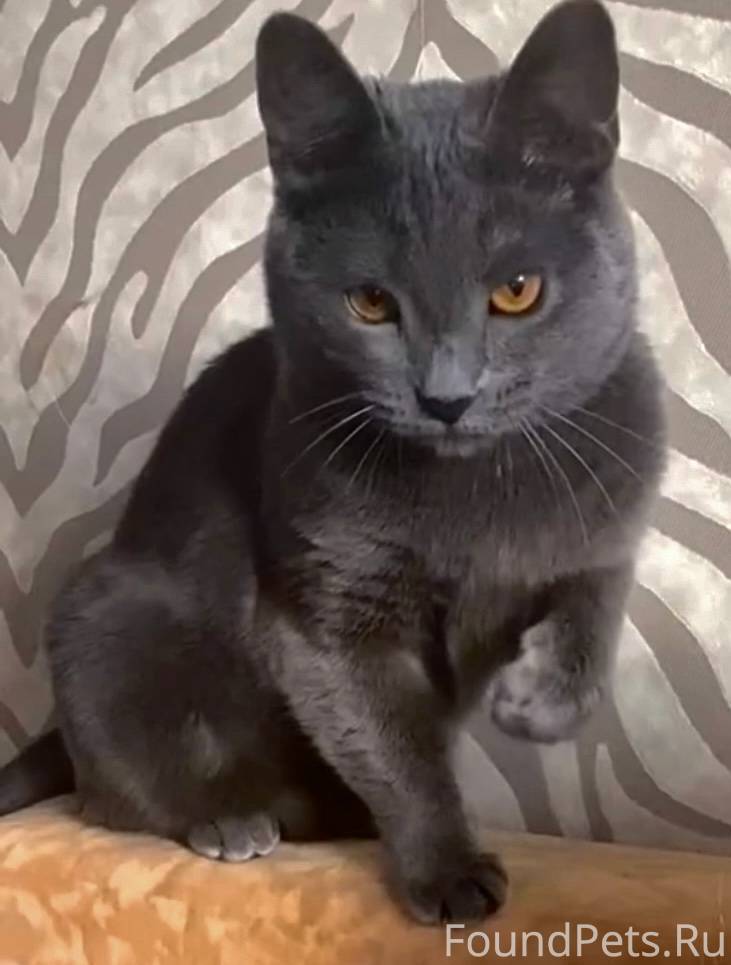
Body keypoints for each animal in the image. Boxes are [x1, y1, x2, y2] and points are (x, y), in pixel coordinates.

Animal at [0, 0, 665, 925]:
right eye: (371, 302)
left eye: (517, 290)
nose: (446, 396)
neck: (478, 492)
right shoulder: (328, 613)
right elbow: (396, 748)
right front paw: (448, 869)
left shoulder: (611, 511)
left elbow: (594, 605)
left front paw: (537, 701)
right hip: (108, 614)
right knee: (111, 790)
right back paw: (233, 817)